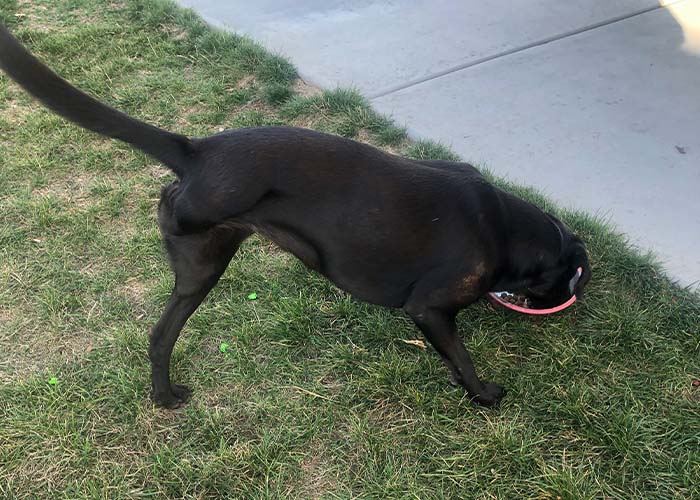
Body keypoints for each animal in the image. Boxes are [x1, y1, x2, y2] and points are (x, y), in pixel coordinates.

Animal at [0, 24, 592, 406]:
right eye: (568, 278)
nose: (566, 303)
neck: (506, 229)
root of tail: (196, 152)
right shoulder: (428, 310)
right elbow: (462, 359)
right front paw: (485, 394)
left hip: (198, 270)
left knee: (158, 335)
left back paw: (164, 397)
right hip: (205, 262)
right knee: (163, 332)